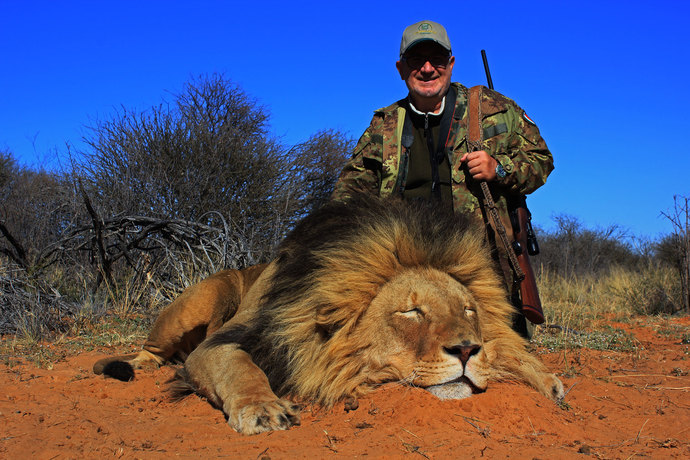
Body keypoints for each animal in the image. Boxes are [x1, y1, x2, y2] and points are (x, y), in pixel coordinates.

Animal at [94, 195, 564, 435]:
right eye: (412, 311)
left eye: (468, 310)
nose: (467, 350)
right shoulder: (223, 344)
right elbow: (240, 368)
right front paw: (265, 410)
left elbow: (518, 356)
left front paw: (548, 380)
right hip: (205, 297)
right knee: (150, 351)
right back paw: (127, 366)